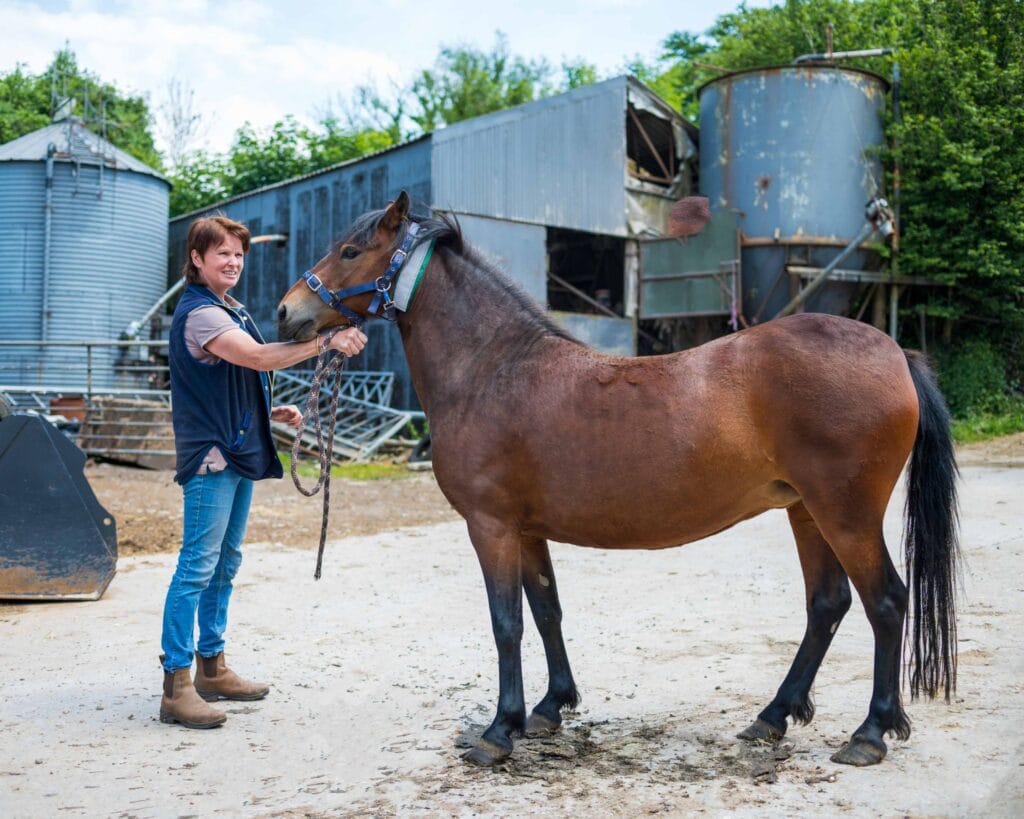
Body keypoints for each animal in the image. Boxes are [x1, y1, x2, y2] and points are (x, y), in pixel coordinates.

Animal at [276, 192, 959, 769]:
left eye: (350, 251)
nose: (286, 311)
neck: (493, 368)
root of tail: (895, 352)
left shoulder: (490, 527)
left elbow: (506, 623)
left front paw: (499, 731)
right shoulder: (526, 530)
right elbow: (546, 610)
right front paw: (550, 707)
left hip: (845, 514)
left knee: (885, 602)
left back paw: (870, 732)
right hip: (805, 511)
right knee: (828, 605)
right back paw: (773, 717)